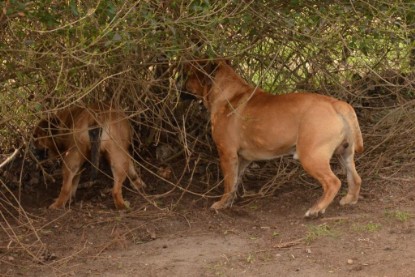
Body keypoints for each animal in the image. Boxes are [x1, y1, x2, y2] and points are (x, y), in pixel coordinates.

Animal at [183, 59, 364, 216]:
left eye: (189, 74)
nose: (180, 84)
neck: (228, 94)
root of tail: (336, 104)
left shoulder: (227, 153)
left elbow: (228, 182)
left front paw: (221, 203)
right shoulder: (242, 158)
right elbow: (235, 181)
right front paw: (229, 202)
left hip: (311, 156)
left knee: (333, 182)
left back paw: (316, 209)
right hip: (344, 154)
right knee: (355, 178)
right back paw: (350, 199)